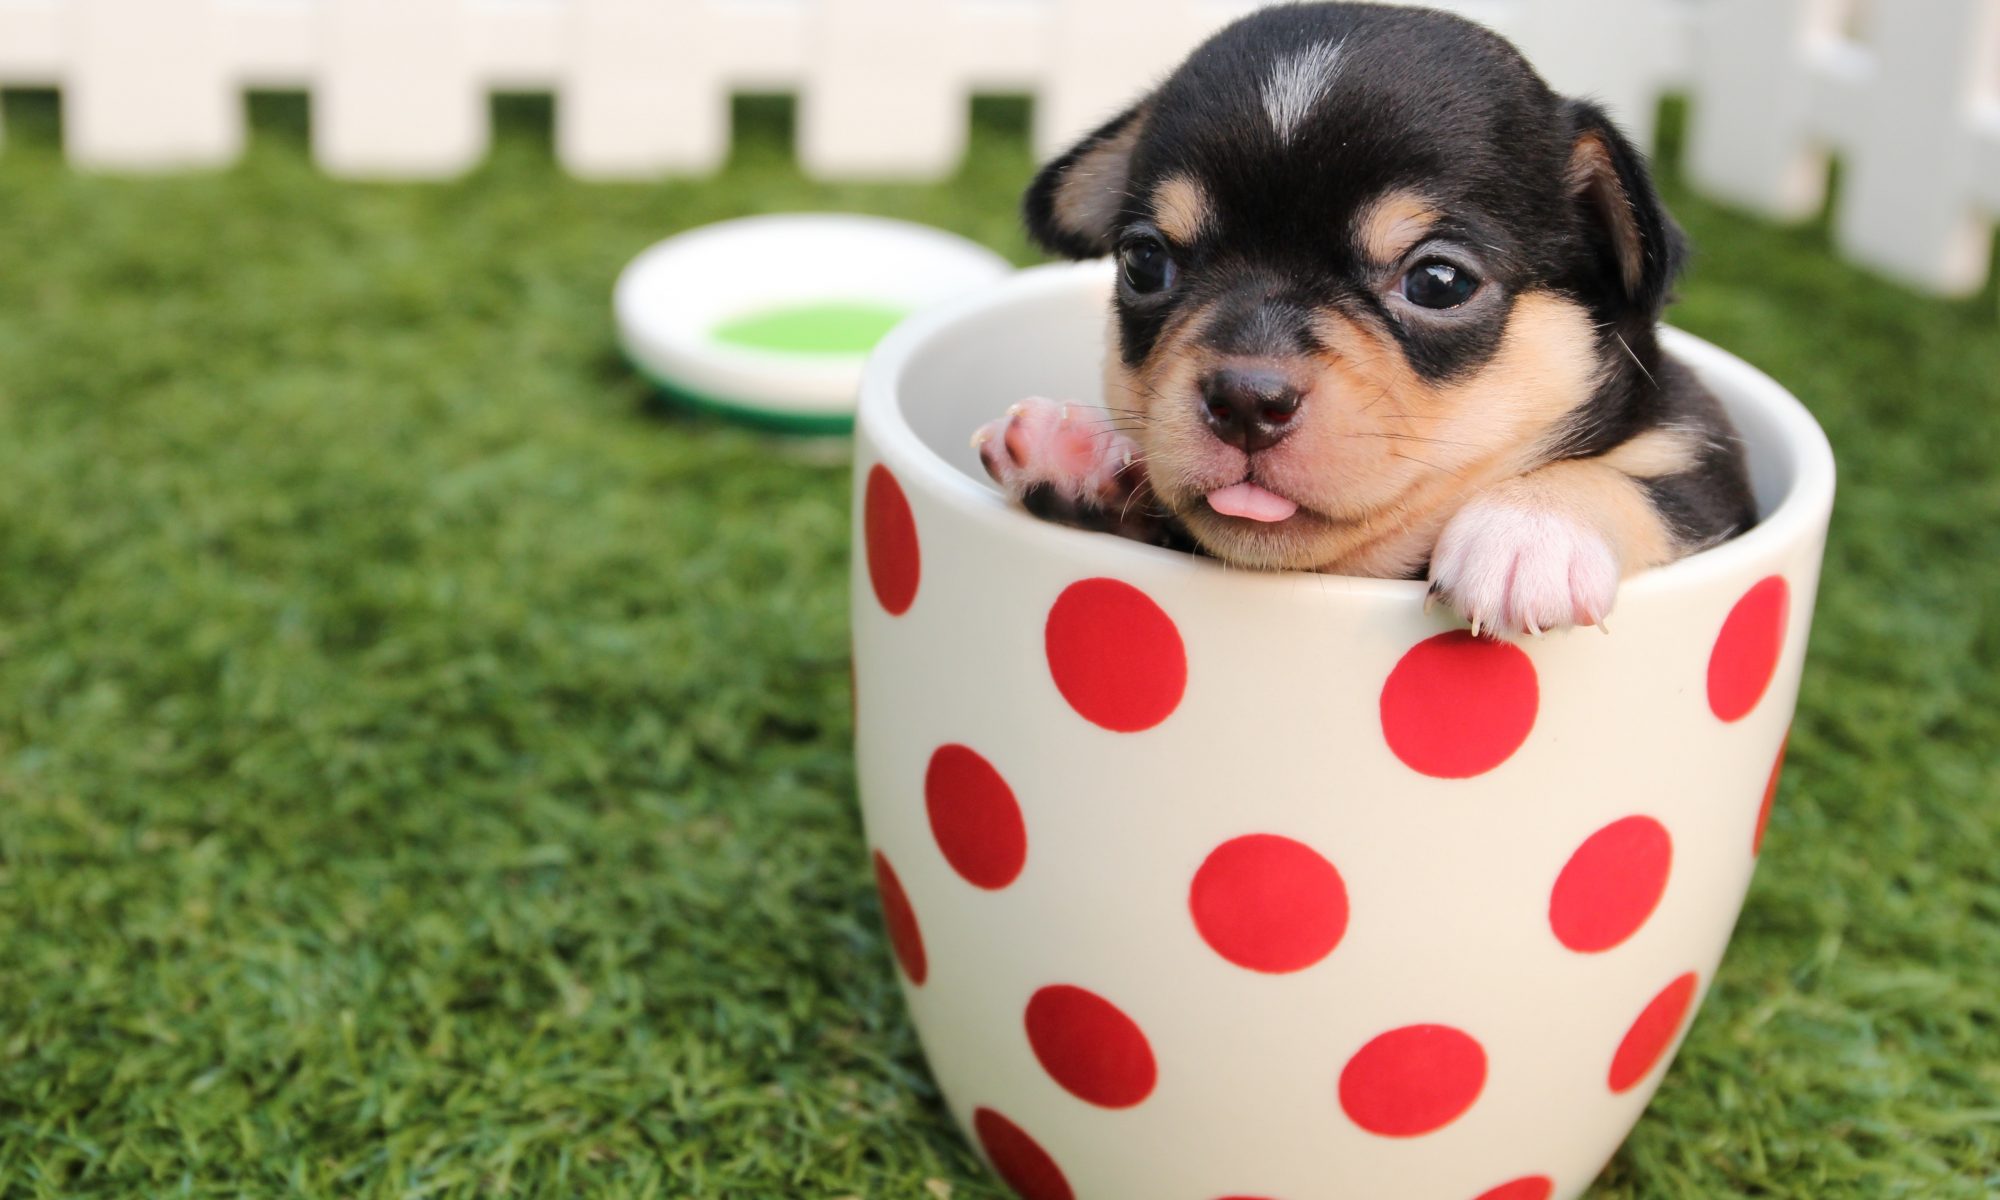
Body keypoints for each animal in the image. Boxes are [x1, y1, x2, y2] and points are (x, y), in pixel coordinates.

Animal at [980, 2, 1752, 636]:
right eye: (1144, 262)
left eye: (1439, 282)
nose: (1245, 400)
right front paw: (1076, 451)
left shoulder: (1708, 466)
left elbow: (1644, 481)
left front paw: (1529, 529)